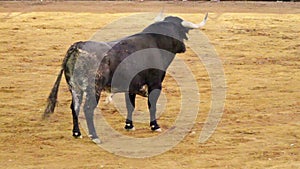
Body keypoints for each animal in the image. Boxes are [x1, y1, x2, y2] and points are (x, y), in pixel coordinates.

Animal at [43, 12, 207, 144]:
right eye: (181, 31)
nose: (183, 48)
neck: (156, 42)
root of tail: (77, 47)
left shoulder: (133, 85)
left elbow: (130, 105)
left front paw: (129, 125)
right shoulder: (155, 83)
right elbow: (152, 104)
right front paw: (155, 126)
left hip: (75, 88)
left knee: (74, 108)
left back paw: (77, 133)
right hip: (93, 88)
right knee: (88, 109)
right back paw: (95, 136)